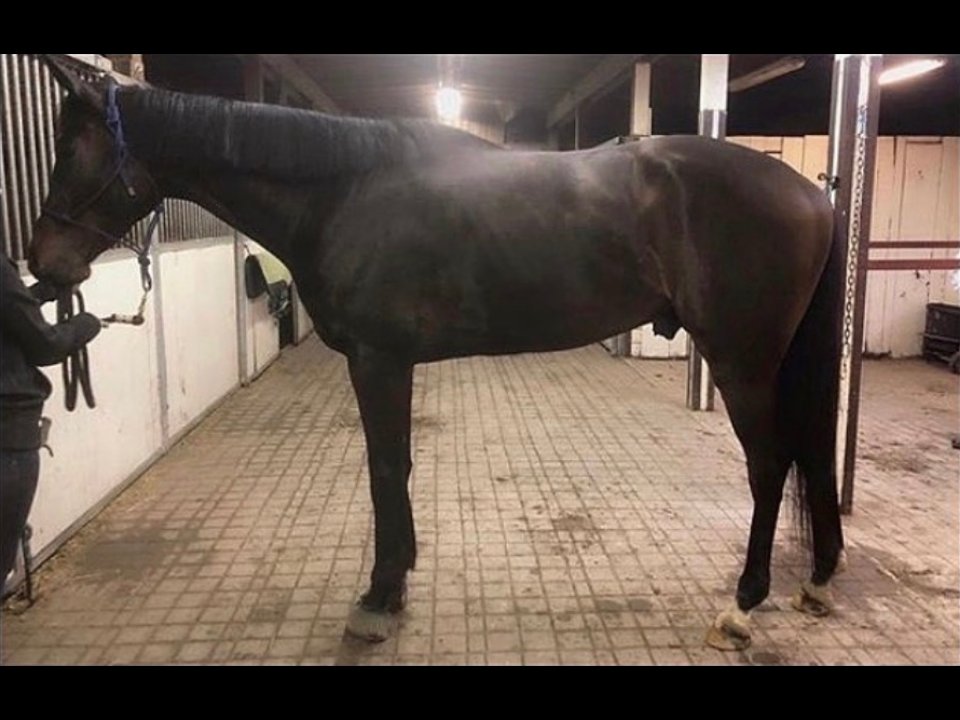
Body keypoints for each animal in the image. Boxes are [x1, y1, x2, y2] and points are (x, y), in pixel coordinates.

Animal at [27, 54, 846, 651]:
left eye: (70, 151)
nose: (44, 264)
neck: (344, 192)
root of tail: (813, 193)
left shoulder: (377, 360)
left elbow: (386, 468)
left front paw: (378, 596)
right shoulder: (391, 364)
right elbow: (400, 466)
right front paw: (398, 580)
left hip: (742, 361)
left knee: (770, 465)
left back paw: (744, 604)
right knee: (806, 454)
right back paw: (818, 579)